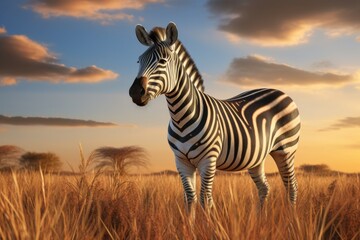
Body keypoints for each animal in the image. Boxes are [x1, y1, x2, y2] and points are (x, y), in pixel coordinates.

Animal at [129, 22, 300, 214]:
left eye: (163, 61)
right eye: (139, 61)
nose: (135, 92)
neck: (180, 117)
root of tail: (281, 92)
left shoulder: (208, 160)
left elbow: (206, 199)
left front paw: (208, 223)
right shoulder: (181, 161)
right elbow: (190, 199)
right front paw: (190, 223)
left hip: (286, 150)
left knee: (292, 187)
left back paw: (292, 218)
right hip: (257, 157)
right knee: (264, 188)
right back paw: (259, 219)